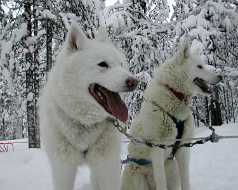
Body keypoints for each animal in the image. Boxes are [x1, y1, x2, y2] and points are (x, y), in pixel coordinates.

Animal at [39, 23, 139, 190]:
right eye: (103, 64)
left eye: (121, 64)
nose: (134, 81)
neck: (85, 122)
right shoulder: (63, 168)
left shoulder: (107, 167)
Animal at [122, 40, 222, 190]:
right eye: (199, 66)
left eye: (204, 64)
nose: (221, 76)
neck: (174, 94)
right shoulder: (157, 150)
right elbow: (161, 182)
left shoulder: (183, 149)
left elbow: (186, 181)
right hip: (139, 179)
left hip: (172, 170)